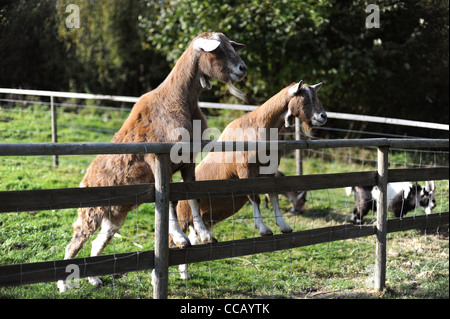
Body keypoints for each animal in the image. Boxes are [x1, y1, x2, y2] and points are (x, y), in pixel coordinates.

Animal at [57, 31, 246, 292]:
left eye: (231, 46)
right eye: (217, 50)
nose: (242, 68)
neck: (179, 100)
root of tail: (84, 182)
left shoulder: (188, 162)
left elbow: (193, 197)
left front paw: (205, 234)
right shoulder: (159, 160)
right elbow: (168, 201)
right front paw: (180, 238)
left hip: (114, 218)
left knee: (96, 243)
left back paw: (94, 280)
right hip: (90, 213)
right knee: (74, 242)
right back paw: (63, 287)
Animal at [174, 80, 326, 280]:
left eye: (315, 95)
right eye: (305, 98)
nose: (323, 116)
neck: (258, 127)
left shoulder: (270, 172)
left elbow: (274, 195)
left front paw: (283, 225)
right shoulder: (246, 171)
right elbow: (255, 197)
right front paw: (263, 228)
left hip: (201, 221)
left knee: (194, 240)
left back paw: (185, 273)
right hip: (183, 220)